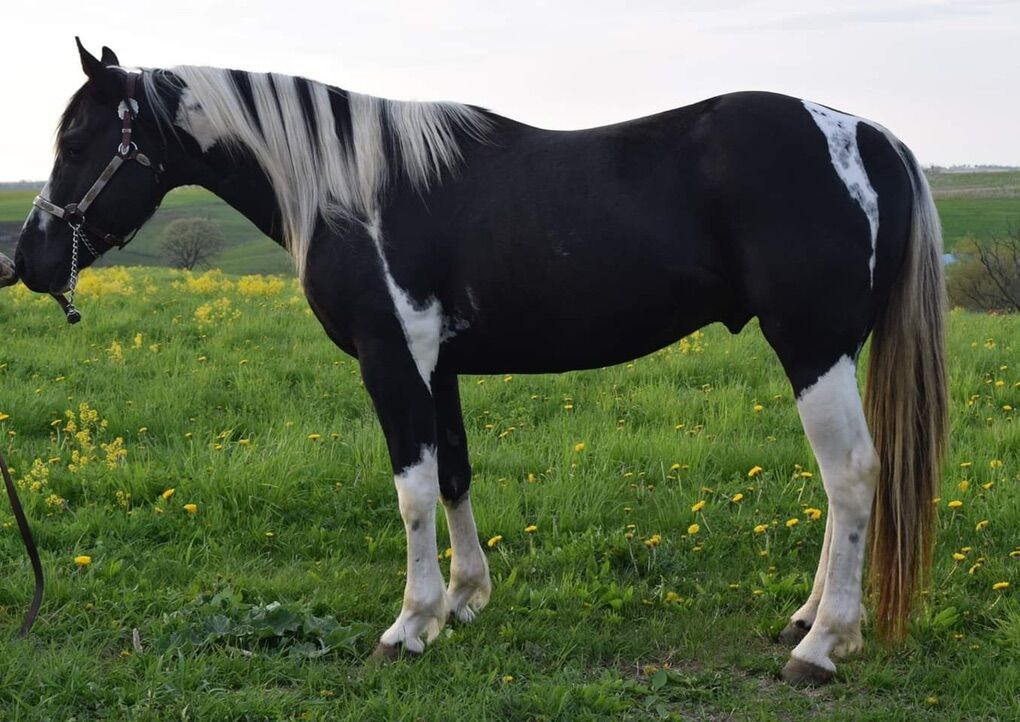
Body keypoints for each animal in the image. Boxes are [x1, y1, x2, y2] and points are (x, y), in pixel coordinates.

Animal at [13, 39, 947, 684]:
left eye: (81, 139)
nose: (26, 260)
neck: (354, 189)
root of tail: (870, 137)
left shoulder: (392, 359)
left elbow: (413, 488)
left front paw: (410, 624)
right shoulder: (439, 365)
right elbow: (456, 474)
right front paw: (463, 601)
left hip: (812, 346)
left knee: (851, 475)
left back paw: (822, 646)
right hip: (826, 350)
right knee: (840, 481)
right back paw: (806, 618)